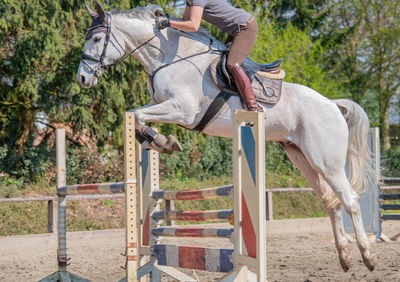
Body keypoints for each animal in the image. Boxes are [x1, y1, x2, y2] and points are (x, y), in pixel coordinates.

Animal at [76, 1, 376, 270]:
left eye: (97, 38)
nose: (82, 79)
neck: (168, 57)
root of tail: (333, 105)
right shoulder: (163, 106)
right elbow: (135, 114)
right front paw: (160, 142)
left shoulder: (182, 110)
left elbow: (137, 115)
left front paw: (163, 142)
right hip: (302, 158)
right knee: (331, 202)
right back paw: (345, 258)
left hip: (327, 161)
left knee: (350, 200)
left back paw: (368, 256)